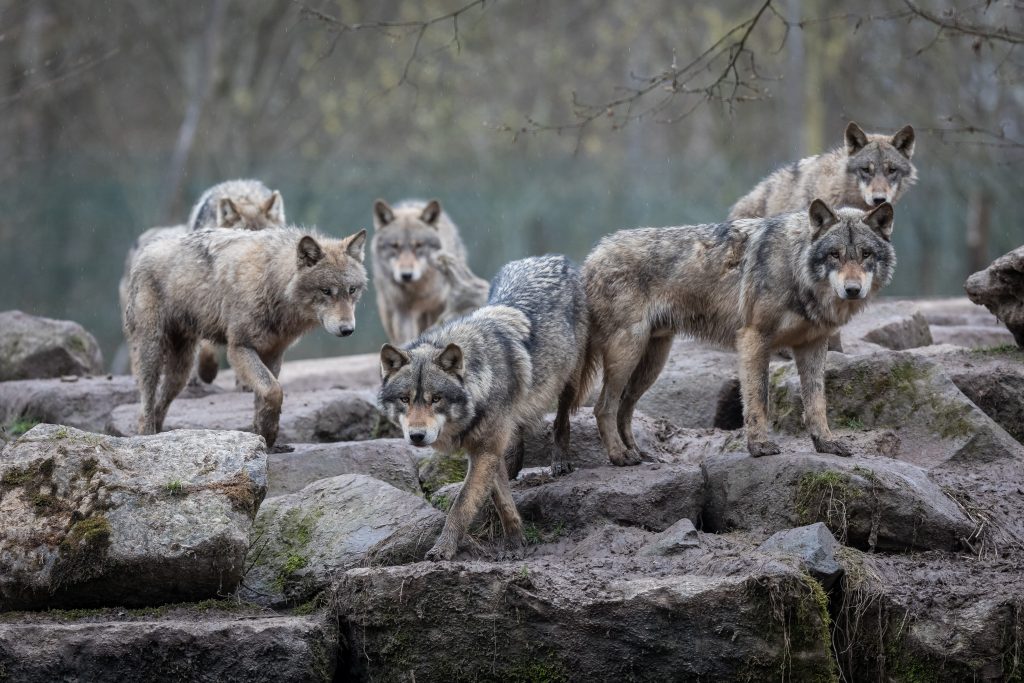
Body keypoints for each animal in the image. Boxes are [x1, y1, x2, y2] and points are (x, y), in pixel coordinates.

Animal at [124, 224, 368, 448]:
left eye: (352, 290)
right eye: (326, 291)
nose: (348, 329)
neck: (271, 282)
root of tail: (146, 250)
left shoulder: (273, 353)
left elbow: (265, 396)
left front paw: (265, 436)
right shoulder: (239, 348)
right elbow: (273, 390)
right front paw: (268, 434)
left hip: (180, 371)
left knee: (159, 405)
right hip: (153, 352)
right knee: (145, 405)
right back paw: (147, 438)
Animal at [378, 255, 589, 561]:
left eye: (436, 399)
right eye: (405, 399)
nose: (417, 436)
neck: (481, 381)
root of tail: (550, 257)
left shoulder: (485, 451)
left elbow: (462, 504)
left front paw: (443, 549)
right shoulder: (486, 451)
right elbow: (501, 500)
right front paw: (515, 542)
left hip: (569, 379)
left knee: (562, 419)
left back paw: (560, 460)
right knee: (516, 434)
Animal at [585, 197, 897, 464]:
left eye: (866, 254)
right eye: (834, 254)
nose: (853, 290)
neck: (795, 268)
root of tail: (593, 254)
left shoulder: (813, 345)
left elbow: (816, 402)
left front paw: (826, 443)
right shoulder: (753, 338)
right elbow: (758, 398)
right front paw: (759, 446)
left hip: (653, 362)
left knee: (624, 407)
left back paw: (637, 453)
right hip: (628, 353)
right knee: (603, 407)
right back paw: (620, 456)